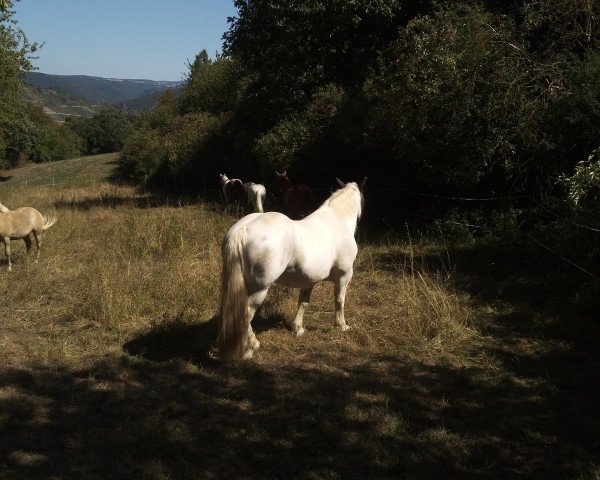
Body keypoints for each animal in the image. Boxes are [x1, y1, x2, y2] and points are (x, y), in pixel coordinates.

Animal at [217, 177, 364, 360]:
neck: (337, 220)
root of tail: (242, 230)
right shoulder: (344, 276)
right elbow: (339, 301)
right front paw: (342, 326)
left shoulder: (309, 281)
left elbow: (303, 303)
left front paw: (298, 329)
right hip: (259, 290)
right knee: (246, 314)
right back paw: (249, 349)